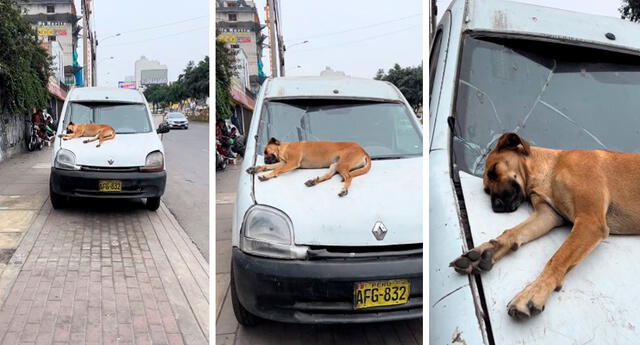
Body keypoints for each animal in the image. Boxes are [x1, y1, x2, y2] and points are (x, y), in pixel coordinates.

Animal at [450, 132, 640, 320]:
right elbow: (512, 232)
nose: (496, 206)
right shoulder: (547, 215)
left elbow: (557, 259)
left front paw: (533, 293)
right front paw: (486, 250)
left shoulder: (590, 222)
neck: (551, 168)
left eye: (494, 171)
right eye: (487, 190)